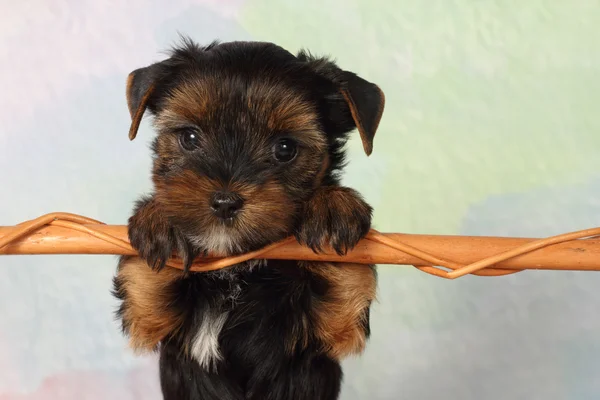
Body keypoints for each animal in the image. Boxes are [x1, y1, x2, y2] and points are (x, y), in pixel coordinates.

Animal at [112, 38, 384, 400]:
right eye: (190, 138)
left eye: (285, 148)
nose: (225, 202)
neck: (239, 272)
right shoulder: (151, 319)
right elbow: (144, 286)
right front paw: (161, 222)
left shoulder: (330, 331)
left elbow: (347, 286)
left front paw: (332, 210)